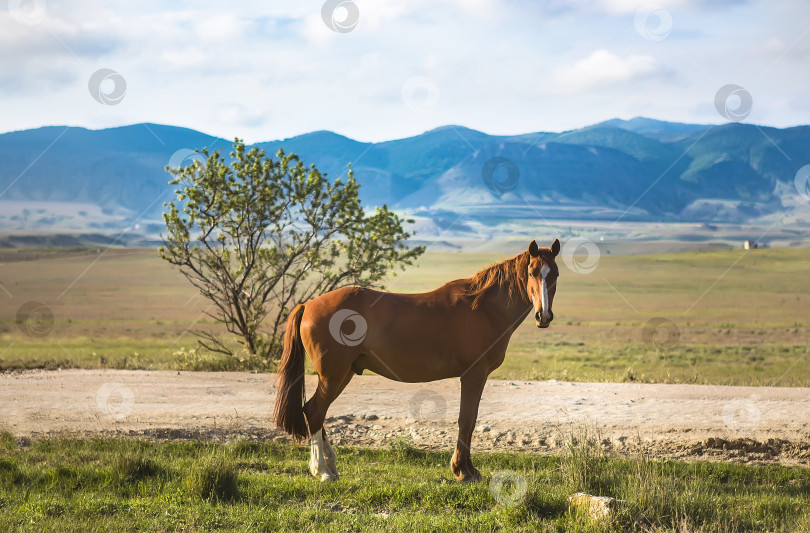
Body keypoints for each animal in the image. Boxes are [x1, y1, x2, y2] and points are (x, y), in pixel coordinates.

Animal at [274, 239, 560, 480]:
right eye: (532, 273)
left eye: (554, 274)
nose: (543, 316)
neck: (485, 308)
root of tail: (308, 305)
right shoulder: (473, 375)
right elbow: (466, 420)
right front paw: (463, 470)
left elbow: (470, 420)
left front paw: (467, 469)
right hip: (333, 375)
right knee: (314, 411)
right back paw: (322, 470)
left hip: (343, 374)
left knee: (318, 412)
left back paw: (331, 465)